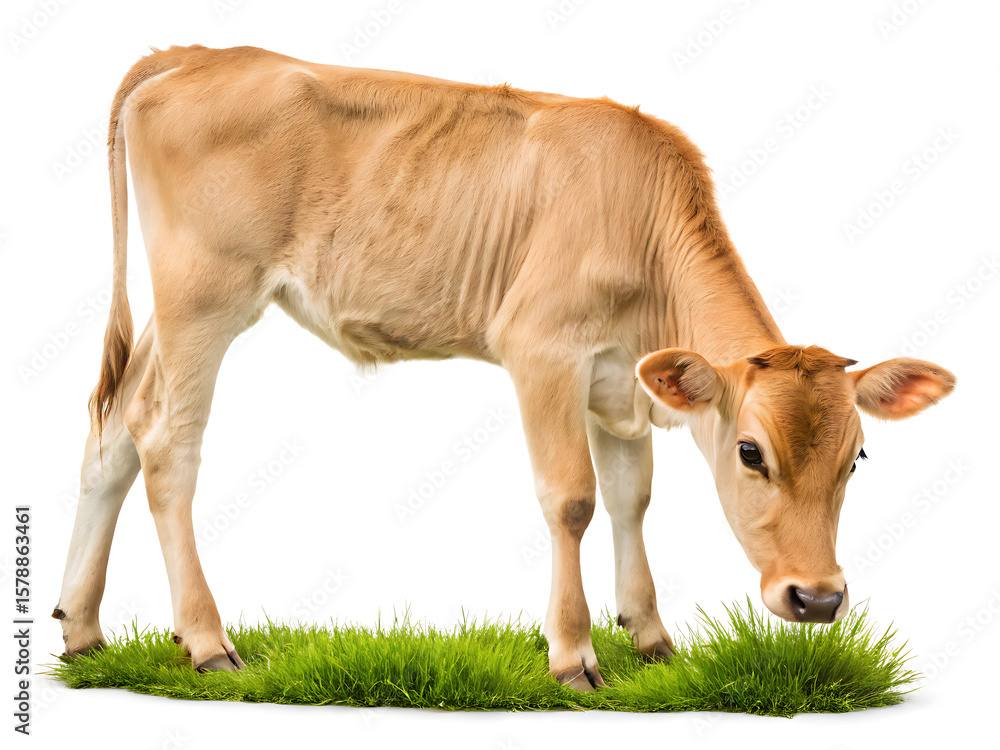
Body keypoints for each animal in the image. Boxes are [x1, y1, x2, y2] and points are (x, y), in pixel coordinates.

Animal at [54, 45, 955, 690]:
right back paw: (208, 642)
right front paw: (574, 657)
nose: (818, 598)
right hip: (204, 296)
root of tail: (197, 52)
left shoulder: (620, 379)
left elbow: (632, 499)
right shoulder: (542, 350)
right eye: (750, 453)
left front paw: (651, 638)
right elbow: (572, 500)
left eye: (857, 457)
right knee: (167, 442)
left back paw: (83, 630)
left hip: (171, 313)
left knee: (114, 429)